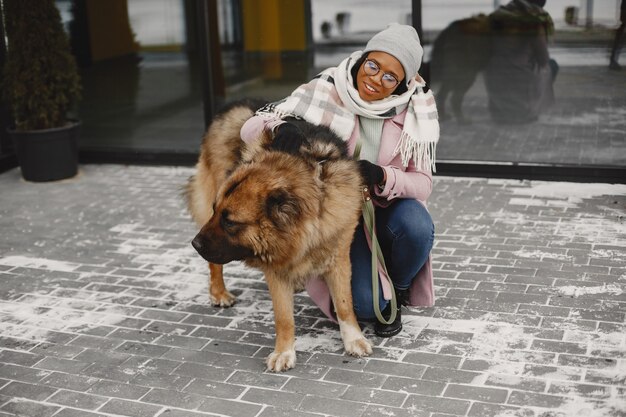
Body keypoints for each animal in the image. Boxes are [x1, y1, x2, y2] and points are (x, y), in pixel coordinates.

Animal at [185, 100, 370, 370]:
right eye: (216, 211)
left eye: (230, 222)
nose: (195, 244)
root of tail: (232, 107)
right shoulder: (274, 265)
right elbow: (283, 317)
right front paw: (284, 352)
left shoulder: (339, 254)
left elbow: (345, 304)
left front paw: (353, 339)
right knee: (214, 264)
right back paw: (219, 292)